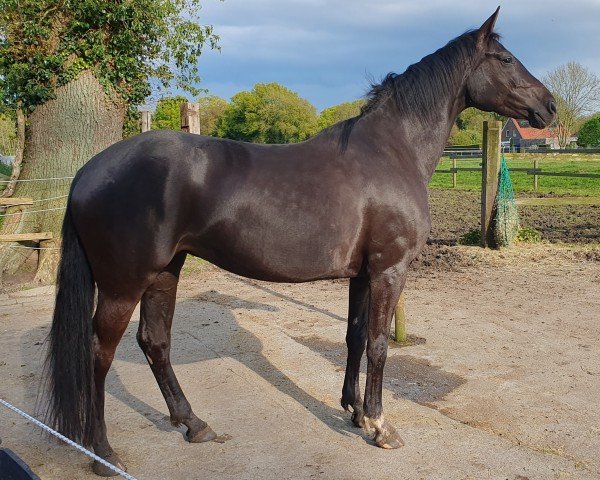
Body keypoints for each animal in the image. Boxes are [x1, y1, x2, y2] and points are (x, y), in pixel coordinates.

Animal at [44, 8, 556, 476]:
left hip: (165, 272)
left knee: (155, 343)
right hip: (123, 285)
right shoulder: (389, 269)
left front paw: (354, 412)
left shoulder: (362, 274)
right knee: (99, 353)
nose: (550, 106)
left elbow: (354, 337)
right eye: (506, 59)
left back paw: (194, 424)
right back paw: (103, 452)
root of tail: (88, 171)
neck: (392, 150)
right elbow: (378, 345)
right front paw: (380, 426)